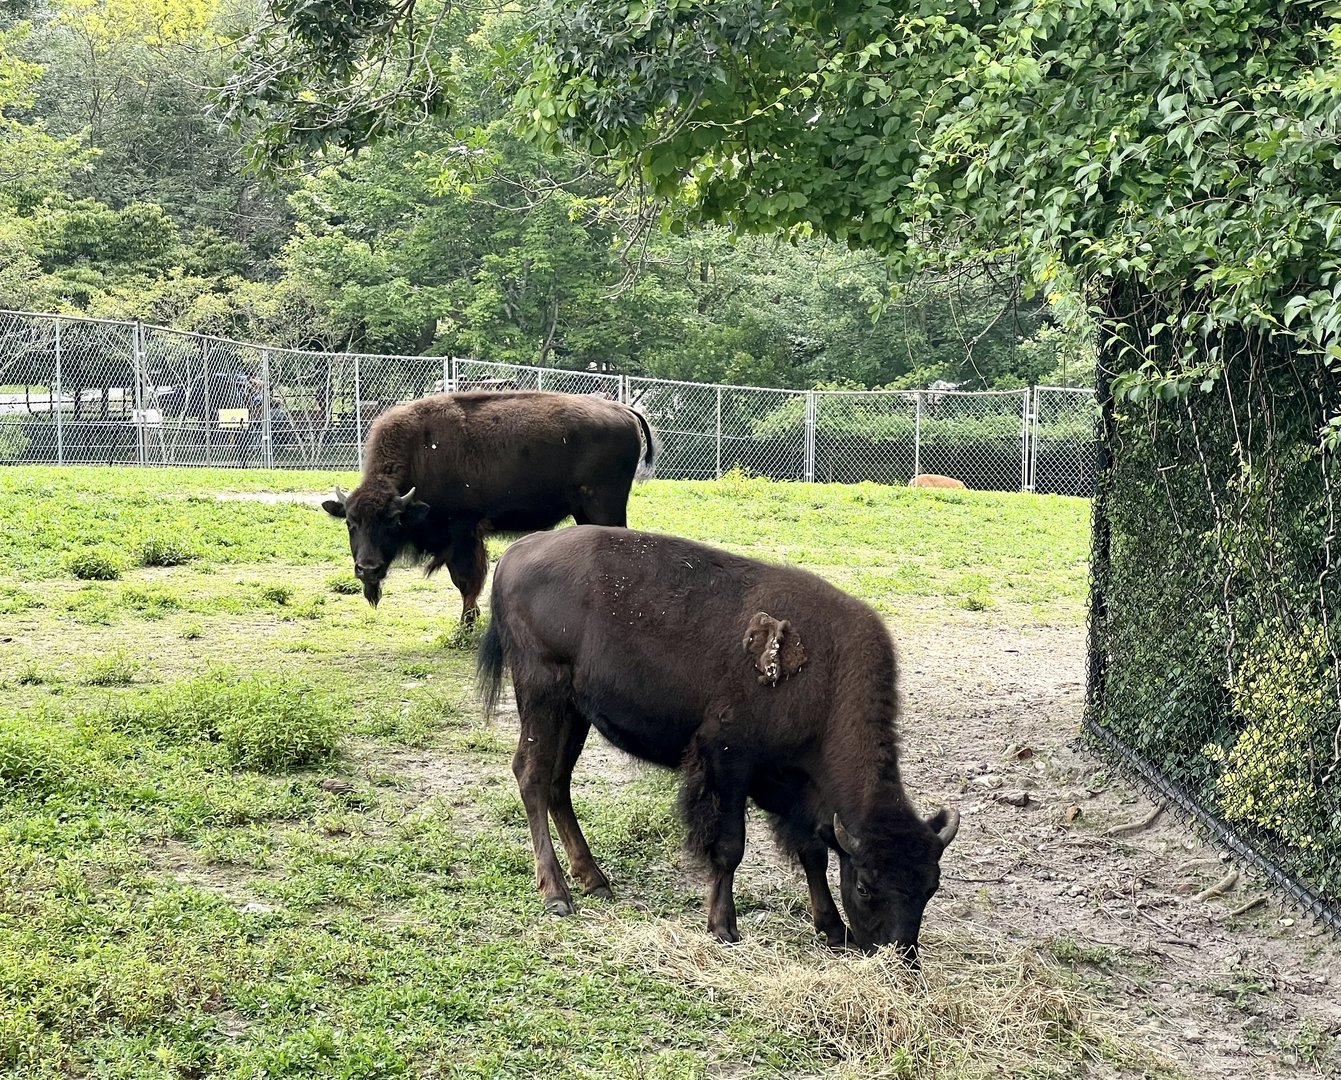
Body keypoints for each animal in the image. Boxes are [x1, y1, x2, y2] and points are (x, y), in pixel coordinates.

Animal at [323, 391, 656, 621]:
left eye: (393, 521)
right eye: (350, 523)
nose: (368, 569)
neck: (420, 451)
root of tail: (624, 409)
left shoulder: (462, 530)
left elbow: (466, 580)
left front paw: (466, 624)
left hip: (605, 508)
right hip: (584, 512)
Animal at [478, 526, 959, 960]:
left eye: (931, 887)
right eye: (865, 885)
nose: (901, 956)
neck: (828, 680)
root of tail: (518, 551)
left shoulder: (798, 791)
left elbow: (814, 853)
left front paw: (833, 929)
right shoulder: (727, 761)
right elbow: (731, 846)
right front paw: (724, 927)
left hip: (574, 711)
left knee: (558, 782)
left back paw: (595, 880)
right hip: (542, 692)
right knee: (532, 775)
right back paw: (557, 894)